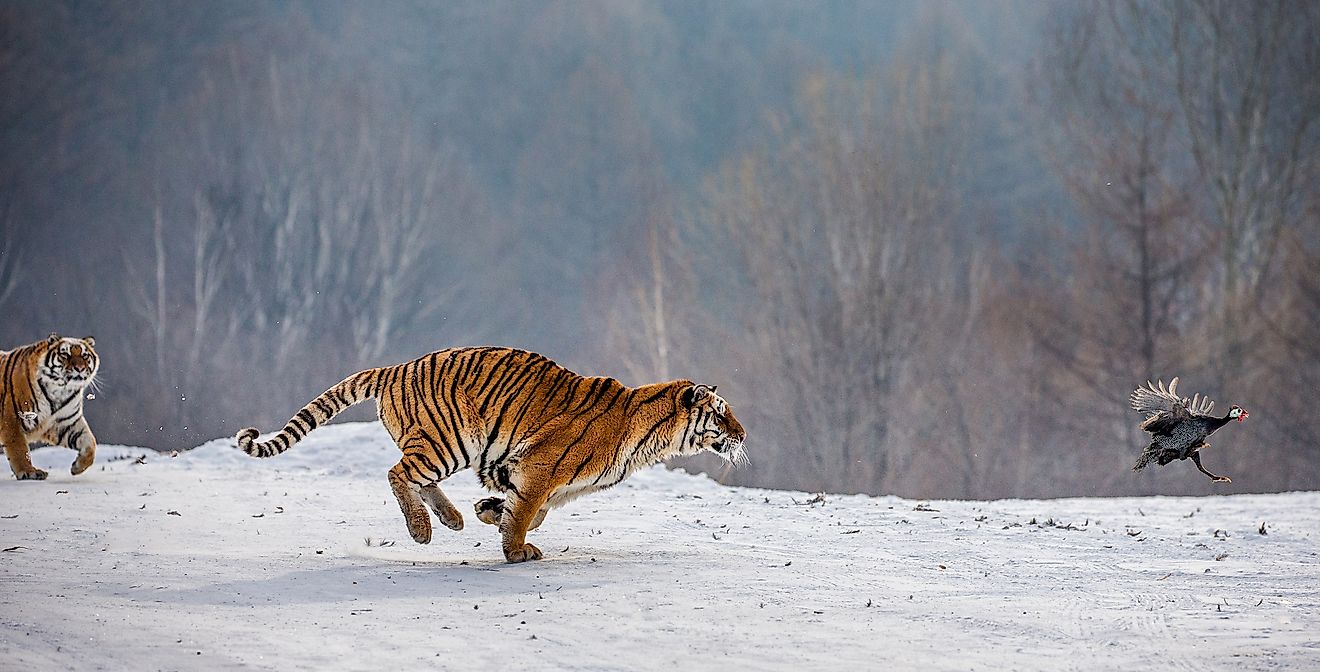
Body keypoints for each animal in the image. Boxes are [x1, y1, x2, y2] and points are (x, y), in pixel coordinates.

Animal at [0, 332, 100, 480]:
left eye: (84, 355)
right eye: (65, 354)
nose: (80, 368)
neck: (60, 391)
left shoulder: (65, 423)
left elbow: (90, 442)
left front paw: (77, 467)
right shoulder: (12, 419)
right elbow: (20, 449)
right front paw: (29, 472)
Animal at [237, 345, 749, 559]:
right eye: (722, 414)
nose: (744, 434)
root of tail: (395, 367)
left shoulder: (528, 471)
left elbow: (532, 510)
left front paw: (489, 511)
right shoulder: (540, 466)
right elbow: (526, 514)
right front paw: (515, 549)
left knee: (417, 478)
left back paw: (453, 519)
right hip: (448, 440)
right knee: (398, 473)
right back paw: (423, 530)